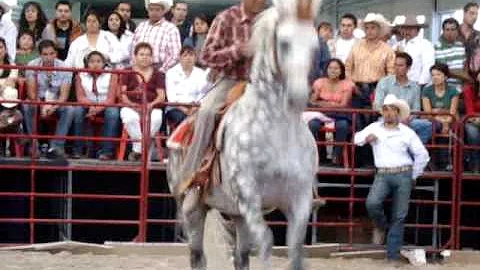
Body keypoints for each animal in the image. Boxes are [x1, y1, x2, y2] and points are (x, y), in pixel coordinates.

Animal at [167, 1, 320, 268]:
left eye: (314, 46)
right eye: (284, 43)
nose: (298, 95)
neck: (277, 130)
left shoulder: (300, 200)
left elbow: (295, 252)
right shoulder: (249, 196)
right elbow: (267, 242)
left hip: (237, 215)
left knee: (241, 257)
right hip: (192, 209)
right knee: (197, 255)